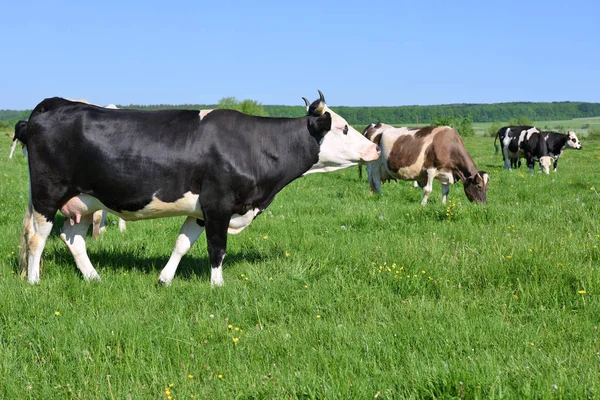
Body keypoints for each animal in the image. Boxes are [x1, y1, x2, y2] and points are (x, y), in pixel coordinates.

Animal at [23, 91, 382, 284]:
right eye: (344, 128)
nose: (376, 149)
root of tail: (52, 103)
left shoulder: (201, 209)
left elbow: (182, 244)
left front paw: (165, 279)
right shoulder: (219, 203)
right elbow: (216, 248)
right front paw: (217, 285)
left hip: (84, 201)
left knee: (72, 239)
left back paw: (94, 278)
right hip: (47, 194)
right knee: (37, 238)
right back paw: (34, 280)